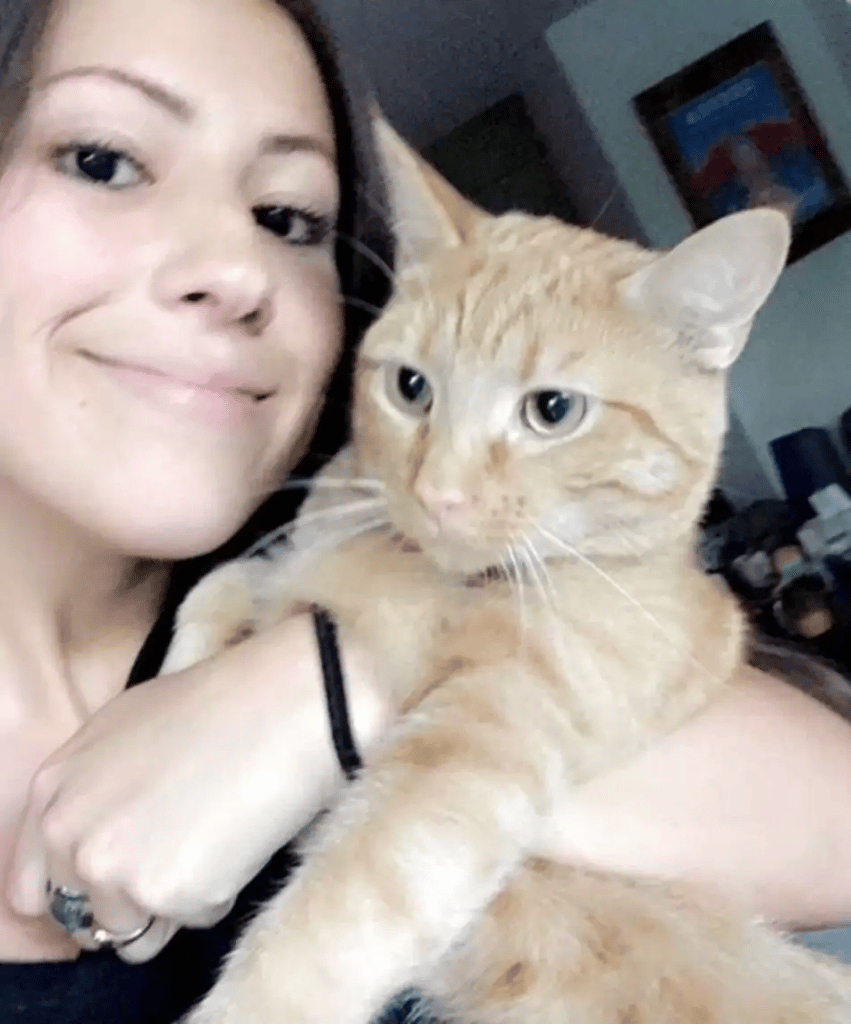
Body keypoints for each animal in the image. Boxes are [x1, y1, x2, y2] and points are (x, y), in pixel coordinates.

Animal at [167, 125, 851, 1024]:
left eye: (552, 411)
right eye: (410, 387)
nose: (438, 493)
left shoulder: (476, 746)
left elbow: (332, 921)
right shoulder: (300, 567)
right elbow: (227, 585)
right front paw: (180, 668)